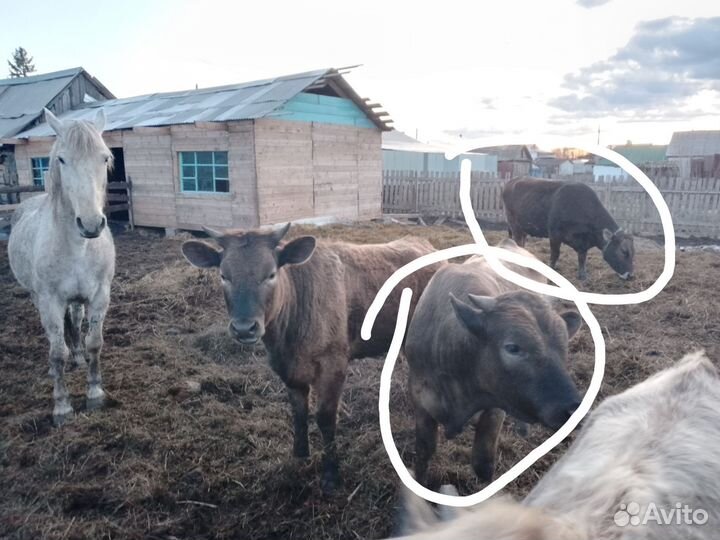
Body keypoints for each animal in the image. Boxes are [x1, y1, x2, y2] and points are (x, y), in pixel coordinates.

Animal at [181, 224, 439, 493]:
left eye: (271, 274)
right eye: (224, 275)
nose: (244, 328)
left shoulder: (334, 364)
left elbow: (325, 418)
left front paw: (331, 474)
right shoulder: (287, 368)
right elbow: (298, 412)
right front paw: (300, 455)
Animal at [404, 238, 582, 486]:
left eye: (564, 348)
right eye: (513, 347)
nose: (572, 408)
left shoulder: (496, 407)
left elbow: (483, 464)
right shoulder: (420, 402)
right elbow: (423, 453)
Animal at [502, 176, 634, 281]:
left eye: (633, 252)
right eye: (624, 251)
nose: (630, 276)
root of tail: (512, 181)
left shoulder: (583, 243)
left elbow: (582, 258)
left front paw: (582, 276)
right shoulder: (554, 234)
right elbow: (555, 255)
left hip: (523, 228)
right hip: (514, 225)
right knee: (518, 242)